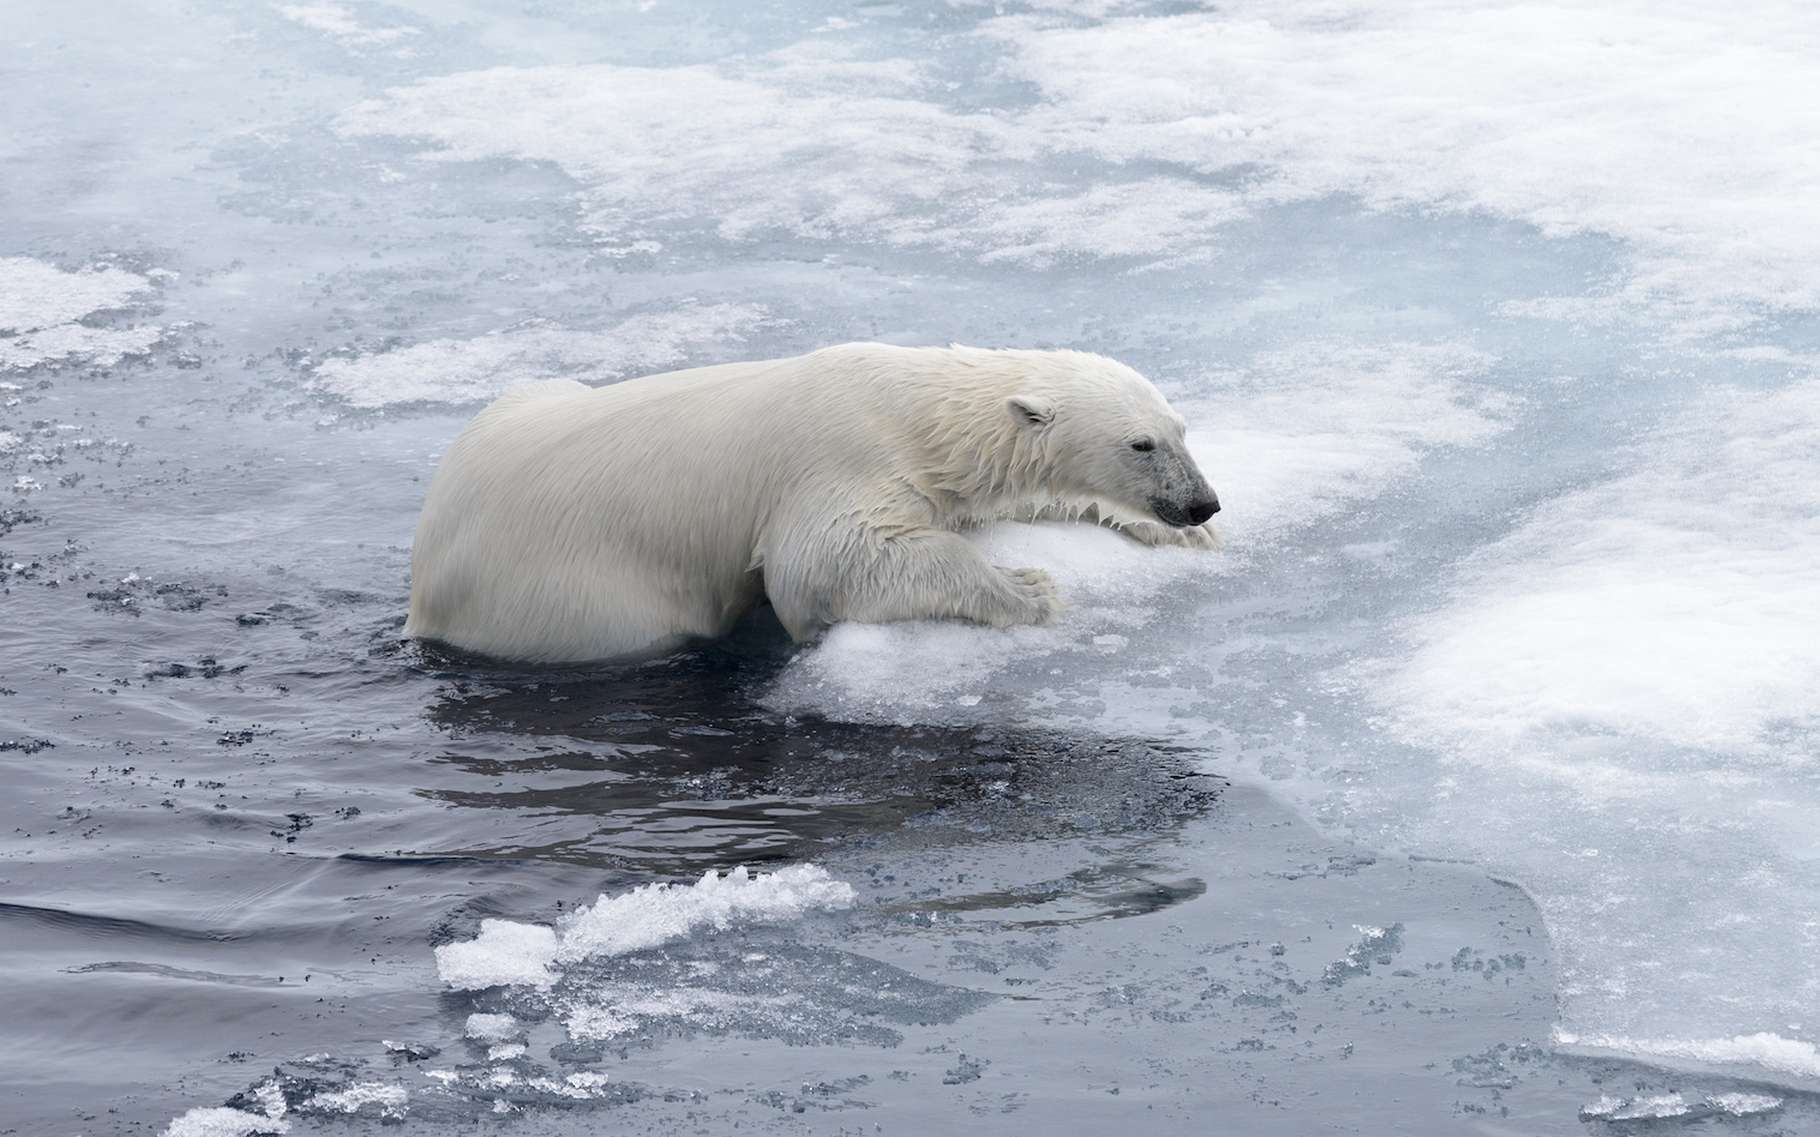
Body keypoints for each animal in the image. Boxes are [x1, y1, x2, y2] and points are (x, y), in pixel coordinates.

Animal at [405, 342, 1215, 662]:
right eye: (1141, 443)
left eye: (1180, 428)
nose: (1201, 504)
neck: (911, 412)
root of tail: (424, 579)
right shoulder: (841, 460)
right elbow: (825, 567)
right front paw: (1029, 586)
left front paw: (1177, 538)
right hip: (576, 595)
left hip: (524, 400)